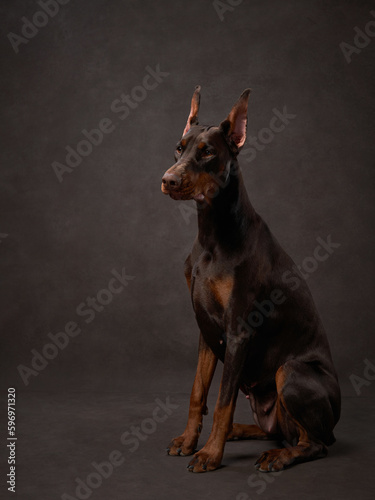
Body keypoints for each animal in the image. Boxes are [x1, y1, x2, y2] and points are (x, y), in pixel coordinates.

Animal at [161, 87, 340, 472]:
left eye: (207, 152)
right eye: (179, 148)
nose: (168, 180)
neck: (212, 236)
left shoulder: (238, 331)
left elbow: (222, 402)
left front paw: (209, 454)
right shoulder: (206, 329)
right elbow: (198, 392)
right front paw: (189, 441)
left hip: (291, 372)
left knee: (314, 443)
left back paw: (277, 456)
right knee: (278, 431)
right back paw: (240, 433)